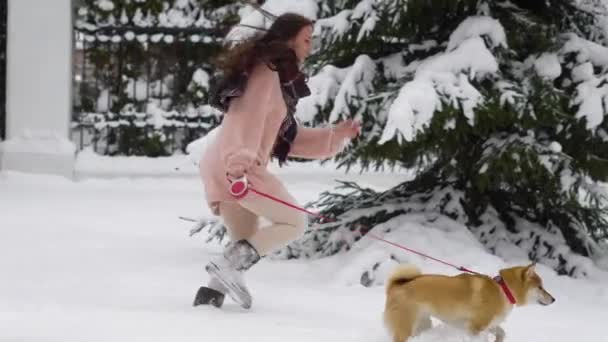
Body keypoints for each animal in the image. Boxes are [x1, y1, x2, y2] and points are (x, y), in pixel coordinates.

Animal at [384, 264, 556, 340]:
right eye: (540, 287)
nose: (554, 299)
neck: (503, 291)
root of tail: (397, 285)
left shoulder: (489, 324)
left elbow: (501, 332)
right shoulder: (475, 327)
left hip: (422, 324)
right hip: (405, 327)